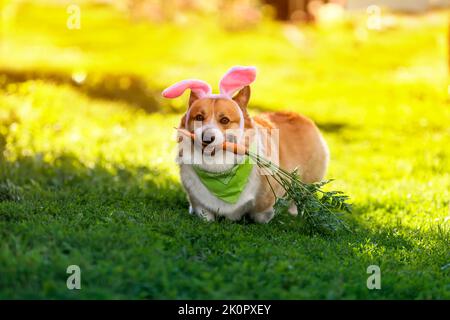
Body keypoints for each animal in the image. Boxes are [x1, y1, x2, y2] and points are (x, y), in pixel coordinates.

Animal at [162, 66, 326, 224]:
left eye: (225, 120)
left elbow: (261, 214)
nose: (207, 138)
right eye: (199, 117)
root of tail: (300, 116)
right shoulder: (199, 203)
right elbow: (204, 214)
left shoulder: (265, 203)